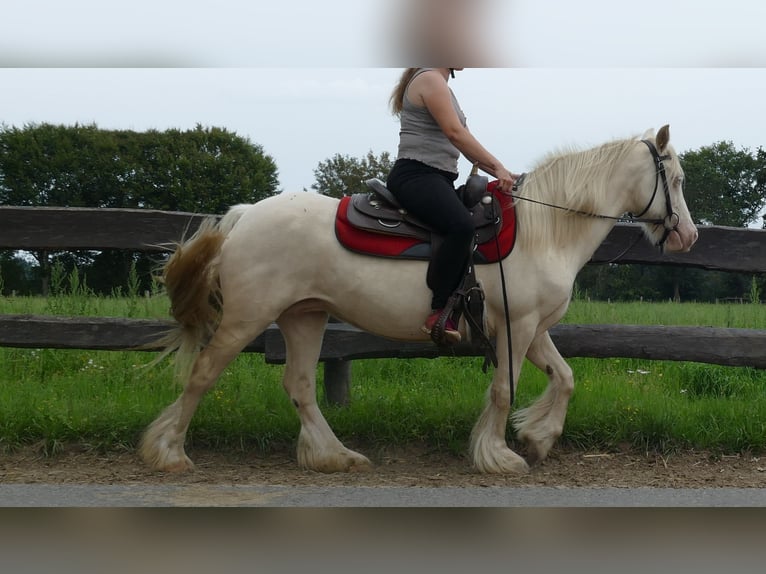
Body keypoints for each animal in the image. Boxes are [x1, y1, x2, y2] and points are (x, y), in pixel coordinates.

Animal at [140, 124, 704, 474]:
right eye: (675, 179)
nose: (689, 236)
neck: (545, 230)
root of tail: (244, 216)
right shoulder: (518, 327)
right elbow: (504, 390)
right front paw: (499, 455)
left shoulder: (530, 328)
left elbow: (564, 379)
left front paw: (537, 437)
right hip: (246, 317)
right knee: (203, 375)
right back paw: (169, 453)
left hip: (306, 315)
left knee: (299, 385)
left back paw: (333, 456)